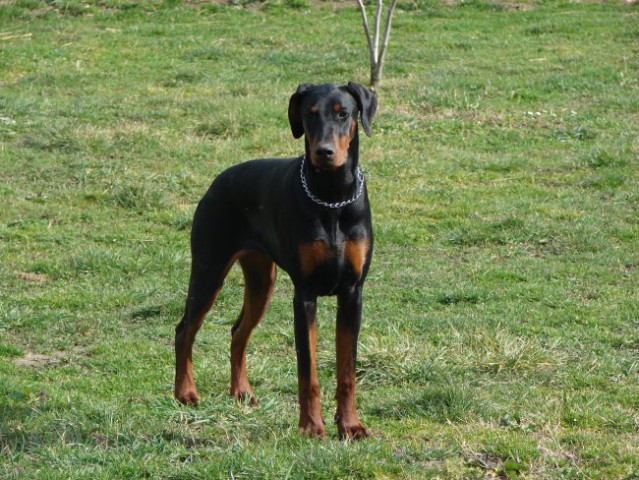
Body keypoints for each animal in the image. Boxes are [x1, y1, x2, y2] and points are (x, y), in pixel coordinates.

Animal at [172, 82, 378, 438]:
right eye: (310, 114)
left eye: (343, 113)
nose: (323, 152)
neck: (332, 197)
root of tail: (218, 180)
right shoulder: (305, 295)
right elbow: (307, 371)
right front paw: (311, 426)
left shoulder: (353, 293)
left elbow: (347, 371)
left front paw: (350, 425)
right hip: (209, 268)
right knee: (185, 329)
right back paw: (185, 393)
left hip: (260, 280)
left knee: (238, 331)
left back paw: (241, 392)